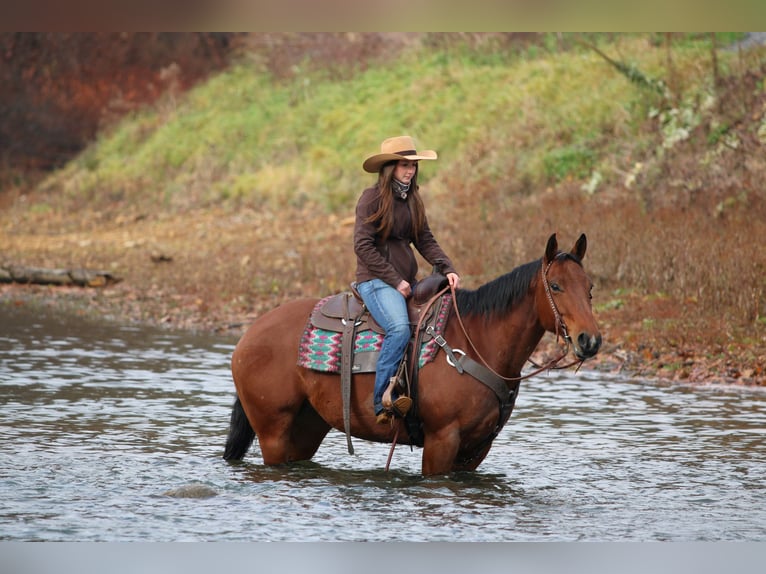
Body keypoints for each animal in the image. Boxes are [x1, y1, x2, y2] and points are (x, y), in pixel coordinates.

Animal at [224, 233, 601, 476]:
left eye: (590, 288)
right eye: (556, 286)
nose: (590, 340)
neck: (478, 342)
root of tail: (249, 336)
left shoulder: (476, 449)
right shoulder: (441, 441)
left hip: (307, 425)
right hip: (272, 430)